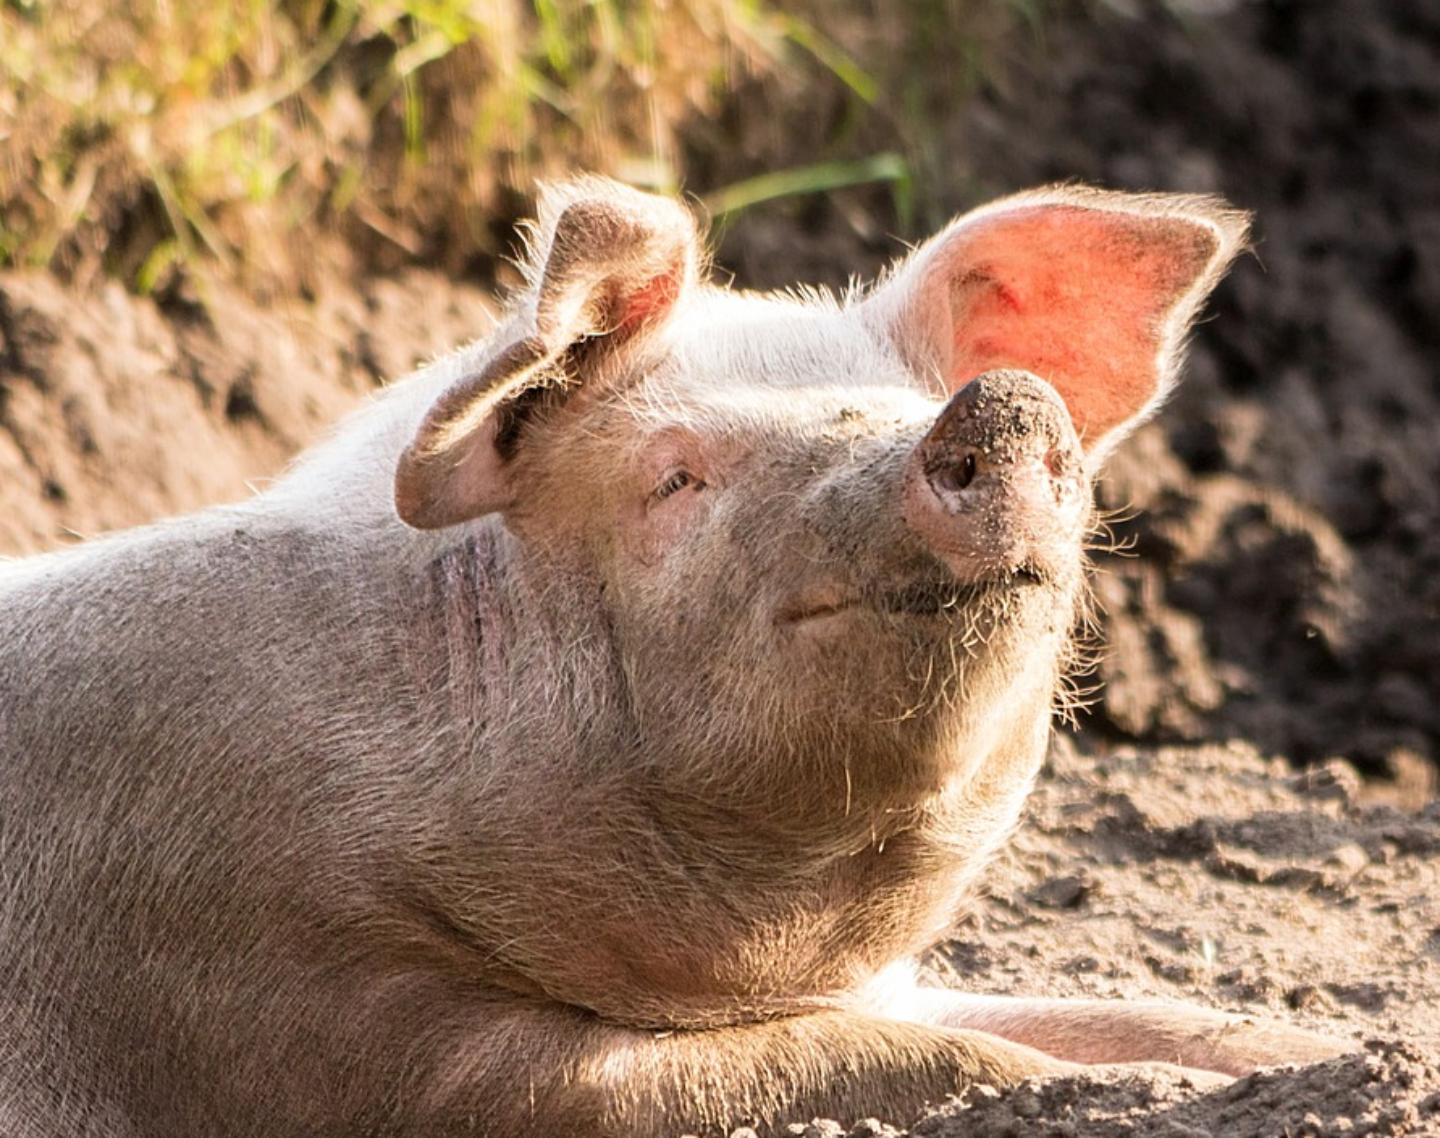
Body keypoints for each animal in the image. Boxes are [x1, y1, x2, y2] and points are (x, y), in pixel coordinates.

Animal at [0, 178, 1350, 1137]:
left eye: (907, 399)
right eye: (675, 477)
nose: (1005, 402)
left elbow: (1147, 1015)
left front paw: (1328, 1058)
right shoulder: (315, 1011)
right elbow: (903, 1059)